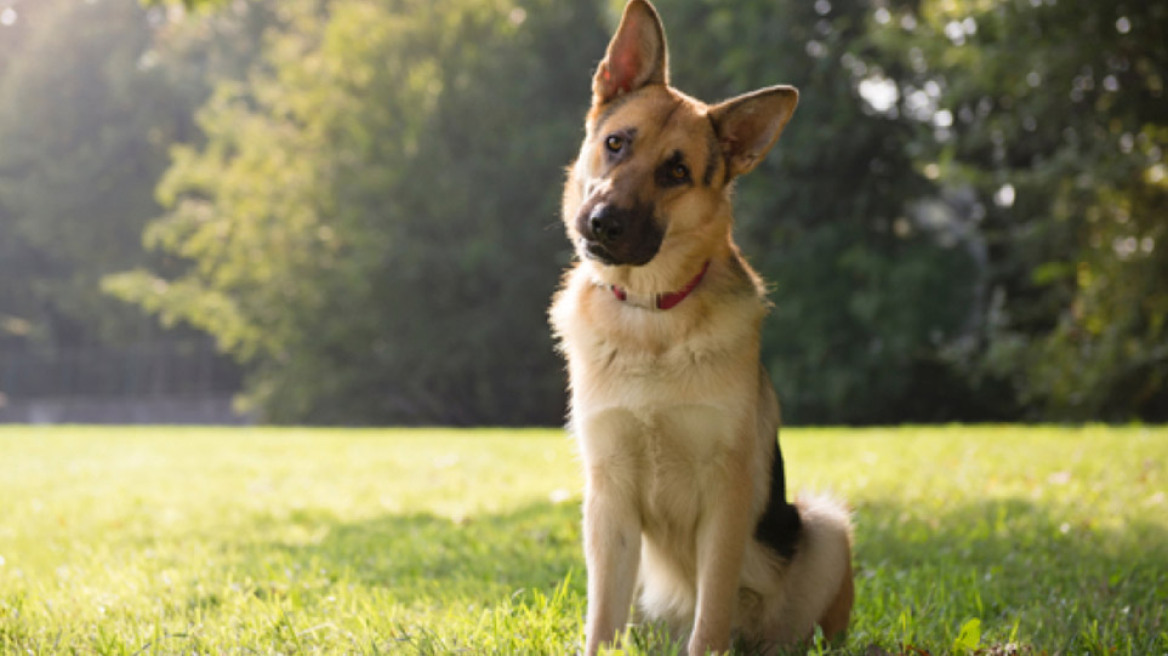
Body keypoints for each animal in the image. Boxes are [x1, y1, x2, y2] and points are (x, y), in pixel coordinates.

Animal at [546, 2, 859, 648]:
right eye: (616, 143)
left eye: (677, 172)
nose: (603, 222)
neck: (651, 314)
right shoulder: (608, 499)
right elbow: (601, 620)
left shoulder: (726, 494)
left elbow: (710, 614)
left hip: (825, 529)